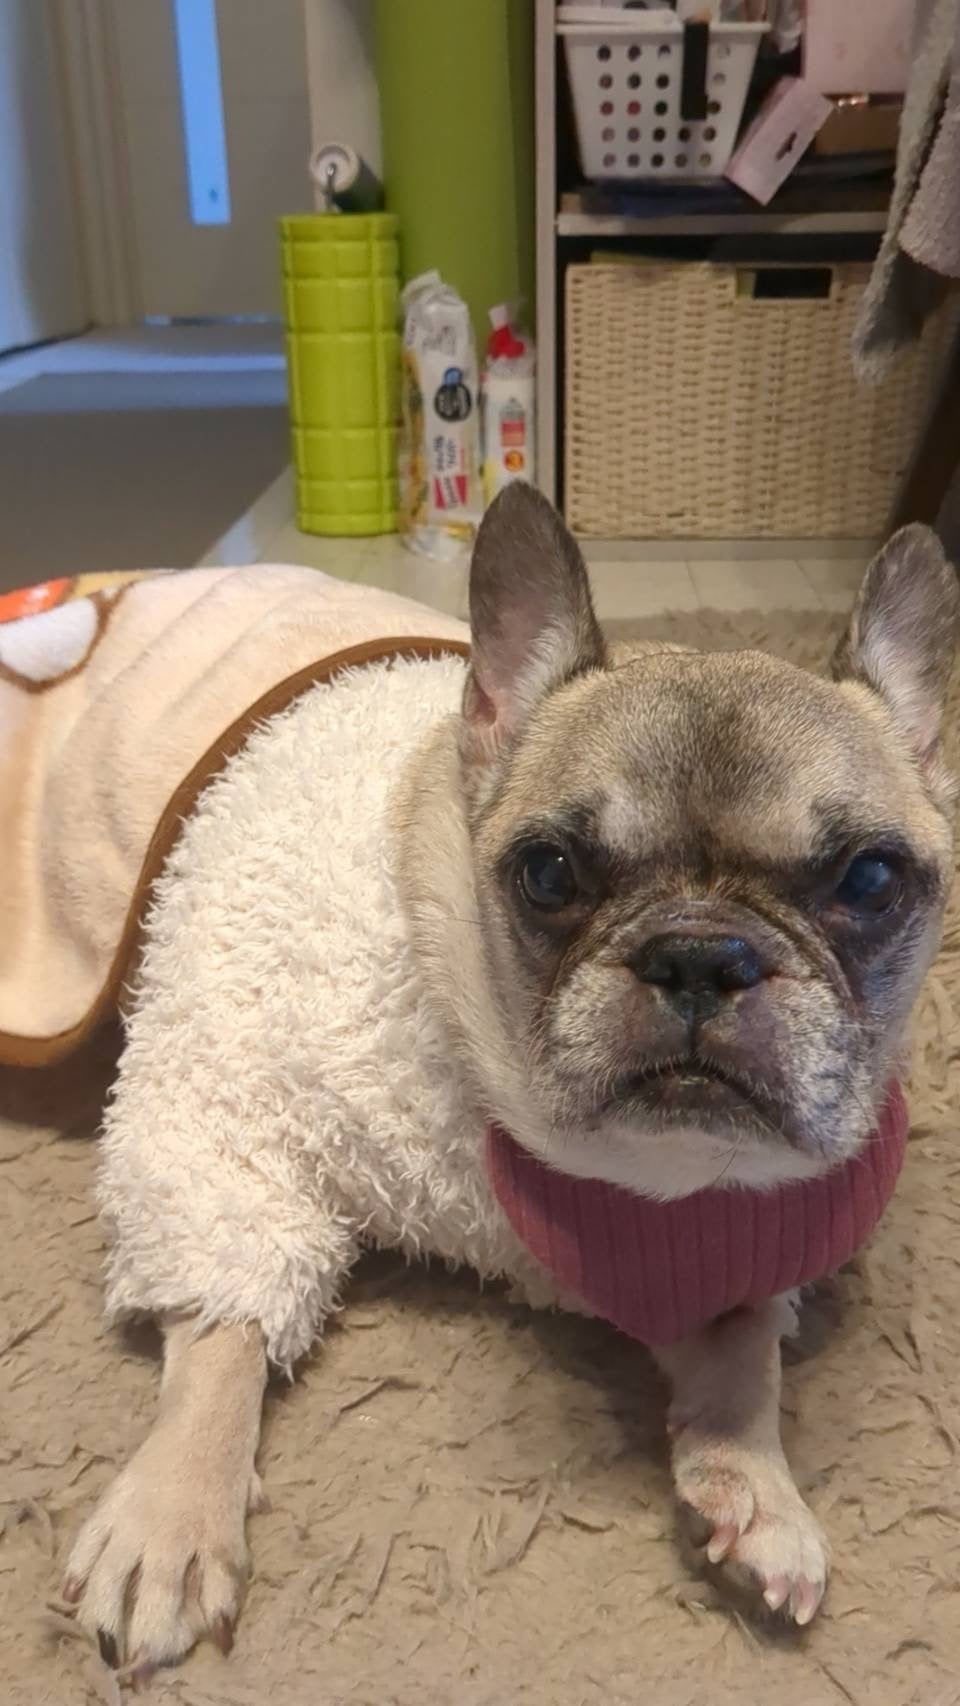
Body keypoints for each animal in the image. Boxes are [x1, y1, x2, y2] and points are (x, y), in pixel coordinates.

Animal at [61, 485, 957, 1680]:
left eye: (868, 879)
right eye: (548, 873)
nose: (701, 954)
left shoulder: (708, 1253)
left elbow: (745, 1353)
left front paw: (754, 1482)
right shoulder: (227, 1120)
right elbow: (222, 1329)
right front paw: (172, 1514)